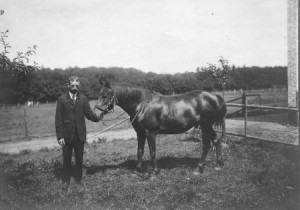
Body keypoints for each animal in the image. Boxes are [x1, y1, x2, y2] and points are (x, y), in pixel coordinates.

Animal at [95, 79, 226, 176]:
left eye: (105, 95)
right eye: (99, 94)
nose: (97, 111)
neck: (142, 105)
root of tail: (215, 97)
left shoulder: (150, 133)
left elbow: (152, 151)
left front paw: (155, 172)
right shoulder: (140, 133)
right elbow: (140, 151)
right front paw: (137, 170)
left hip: (205, 125)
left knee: (206, 145)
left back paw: (198, 169)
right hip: (208, 126)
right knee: (216, 141)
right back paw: (218, 165)